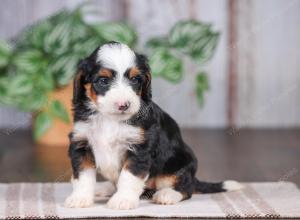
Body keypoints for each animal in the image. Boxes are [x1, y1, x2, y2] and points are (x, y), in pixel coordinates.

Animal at [64, 41, 243, 210]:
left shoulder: (140, 147)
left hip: (180, 164)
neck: (110, 119)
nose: (124, 105)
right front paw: (80, 198)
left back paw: (167, 195)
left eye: (135, 79)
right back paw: (105, 188)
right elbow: (83, 175)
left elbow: (128, 176)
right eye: (103, 81)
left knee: (186, 188)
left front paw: (123, 200)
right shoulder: (81, 143)